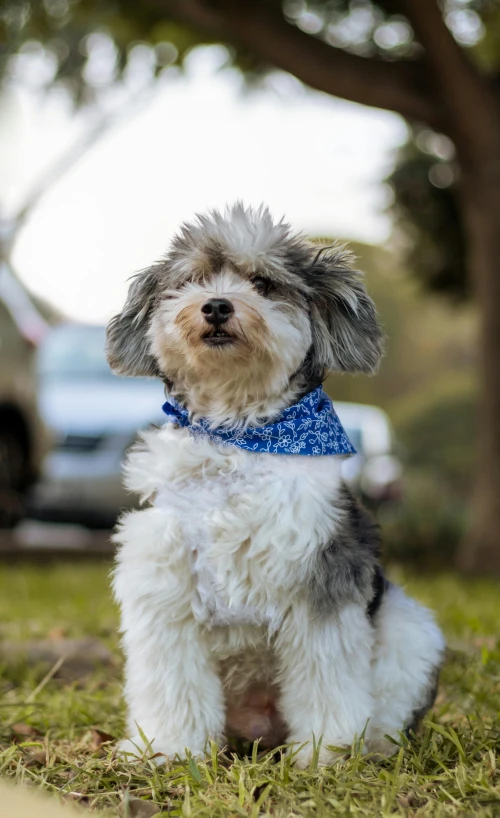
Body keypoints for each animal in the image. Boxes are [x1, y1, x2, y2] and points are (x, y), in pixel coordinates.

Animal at [106, 202, 446, 764]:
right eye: (193, 280)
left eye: (263, 283)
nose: (216, 306)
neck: (238, 436)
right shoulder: (164, 586)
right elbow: (174, 683)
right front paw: (170, 750)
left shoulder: (319, 578)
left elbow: (327, 680)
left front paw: (327, 754)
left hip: (409, 628)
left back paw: (371, 747)